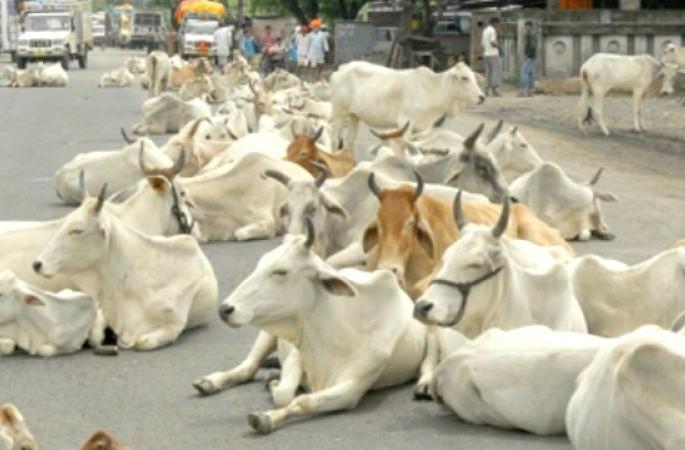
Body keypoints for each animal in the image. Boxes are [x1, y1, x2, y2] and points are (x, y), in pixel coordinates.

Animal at [195, 219, 458, 434]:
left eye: (281, 271)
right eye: (261, 263)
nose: (225, 309)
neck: (337, 330)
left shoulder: (351, 389)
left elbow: (303, 401)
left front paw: (267, 416)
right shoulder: (297, 352)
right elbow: (284, 394)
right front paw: (274, 388)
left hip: (431, 329)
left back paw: (424, 385)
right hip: (268, 332)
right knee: (247, 367)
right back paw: (212, 382)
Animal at [330, 61, 485, 148]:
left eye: (474, 77)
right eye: (464, 78)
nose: (482, 97)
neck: (432, 88)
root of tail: (342, 68)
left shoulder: (423, 128)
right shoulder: (405, 123)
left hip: (353, 115)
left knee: (350, 141)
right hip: (339, 113)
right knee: (335, 140)